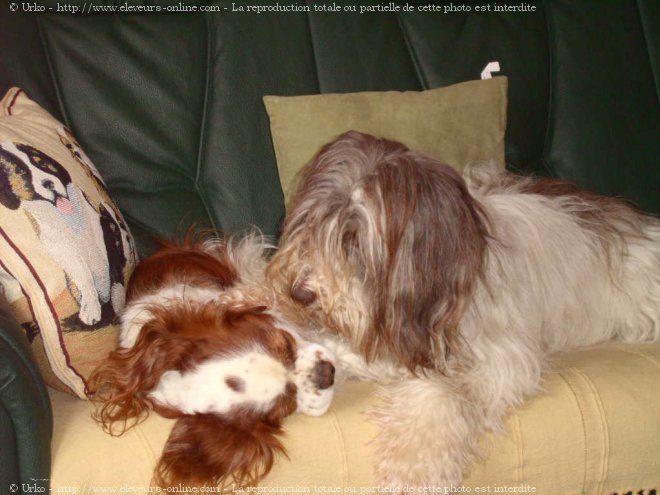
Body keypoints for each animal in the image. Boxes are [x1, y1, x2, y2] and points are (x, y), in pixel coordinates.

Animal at [266, 130, 660, 490]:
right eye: (309, 223)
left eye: (352, 238)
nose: (299, 292)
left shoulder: (500, 361)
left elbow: (441, 393)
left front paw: (412, 472)